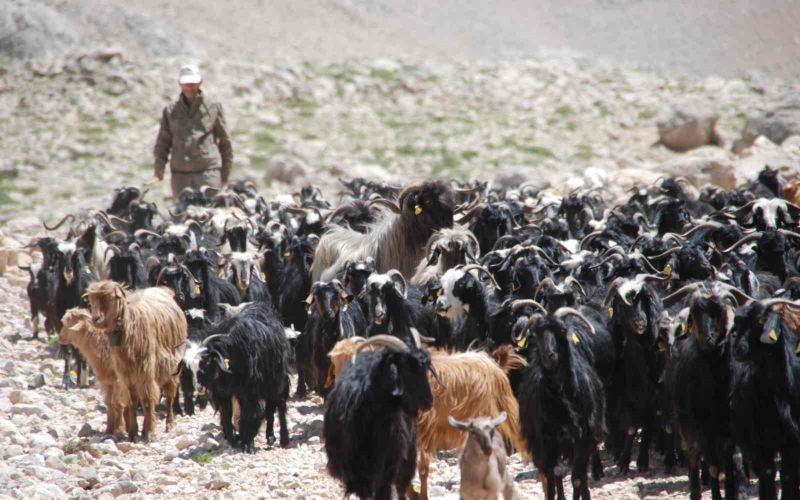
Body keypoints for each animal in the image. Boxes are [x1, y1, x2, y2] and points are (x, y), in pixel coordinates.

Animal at [85, 282, 189, 442]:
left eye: (111, 297)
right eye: (91, 300)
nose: (96, 319)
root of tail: (164, 290)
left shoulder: (145, 372)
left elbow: (147, 400)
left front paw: (150, 432)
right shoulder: (126, 376)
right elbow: (132, 402)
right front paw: (133, 433)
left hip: (172, 364)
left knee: (170, 394)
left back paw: (170, 423)